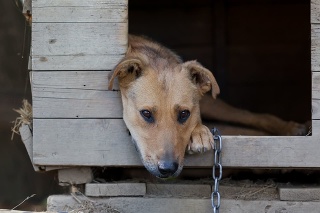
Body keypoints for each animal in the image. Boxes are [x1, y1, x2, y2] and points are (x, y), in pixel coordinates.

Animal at [109, 35, 308, 178]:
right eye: (146, 113)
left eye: (184, 114)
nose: (168, 168)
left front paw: (200, 132)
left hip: (214, 104)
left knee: (251, 117)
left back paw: (292, 130)